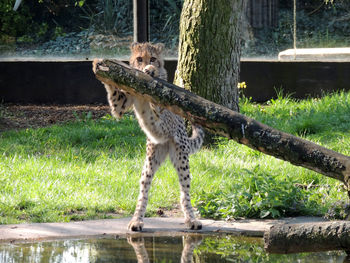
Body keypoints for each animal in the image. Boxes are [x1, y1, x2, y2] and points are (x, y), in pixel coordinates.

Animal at [98, 42, 204, 232]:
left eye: (153, 58)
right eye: (139, 58)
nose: (146, 65)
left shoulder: (163, 102)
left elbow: (155, 103)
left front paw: (151, 70)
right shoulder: (121, 105)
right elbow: (116, 101)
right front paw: (102, 68)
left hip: (181, 156)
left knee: (185, 191)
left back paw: (191, 219)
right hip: (151, 160)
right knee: (144, 191)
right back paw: (136, 220)